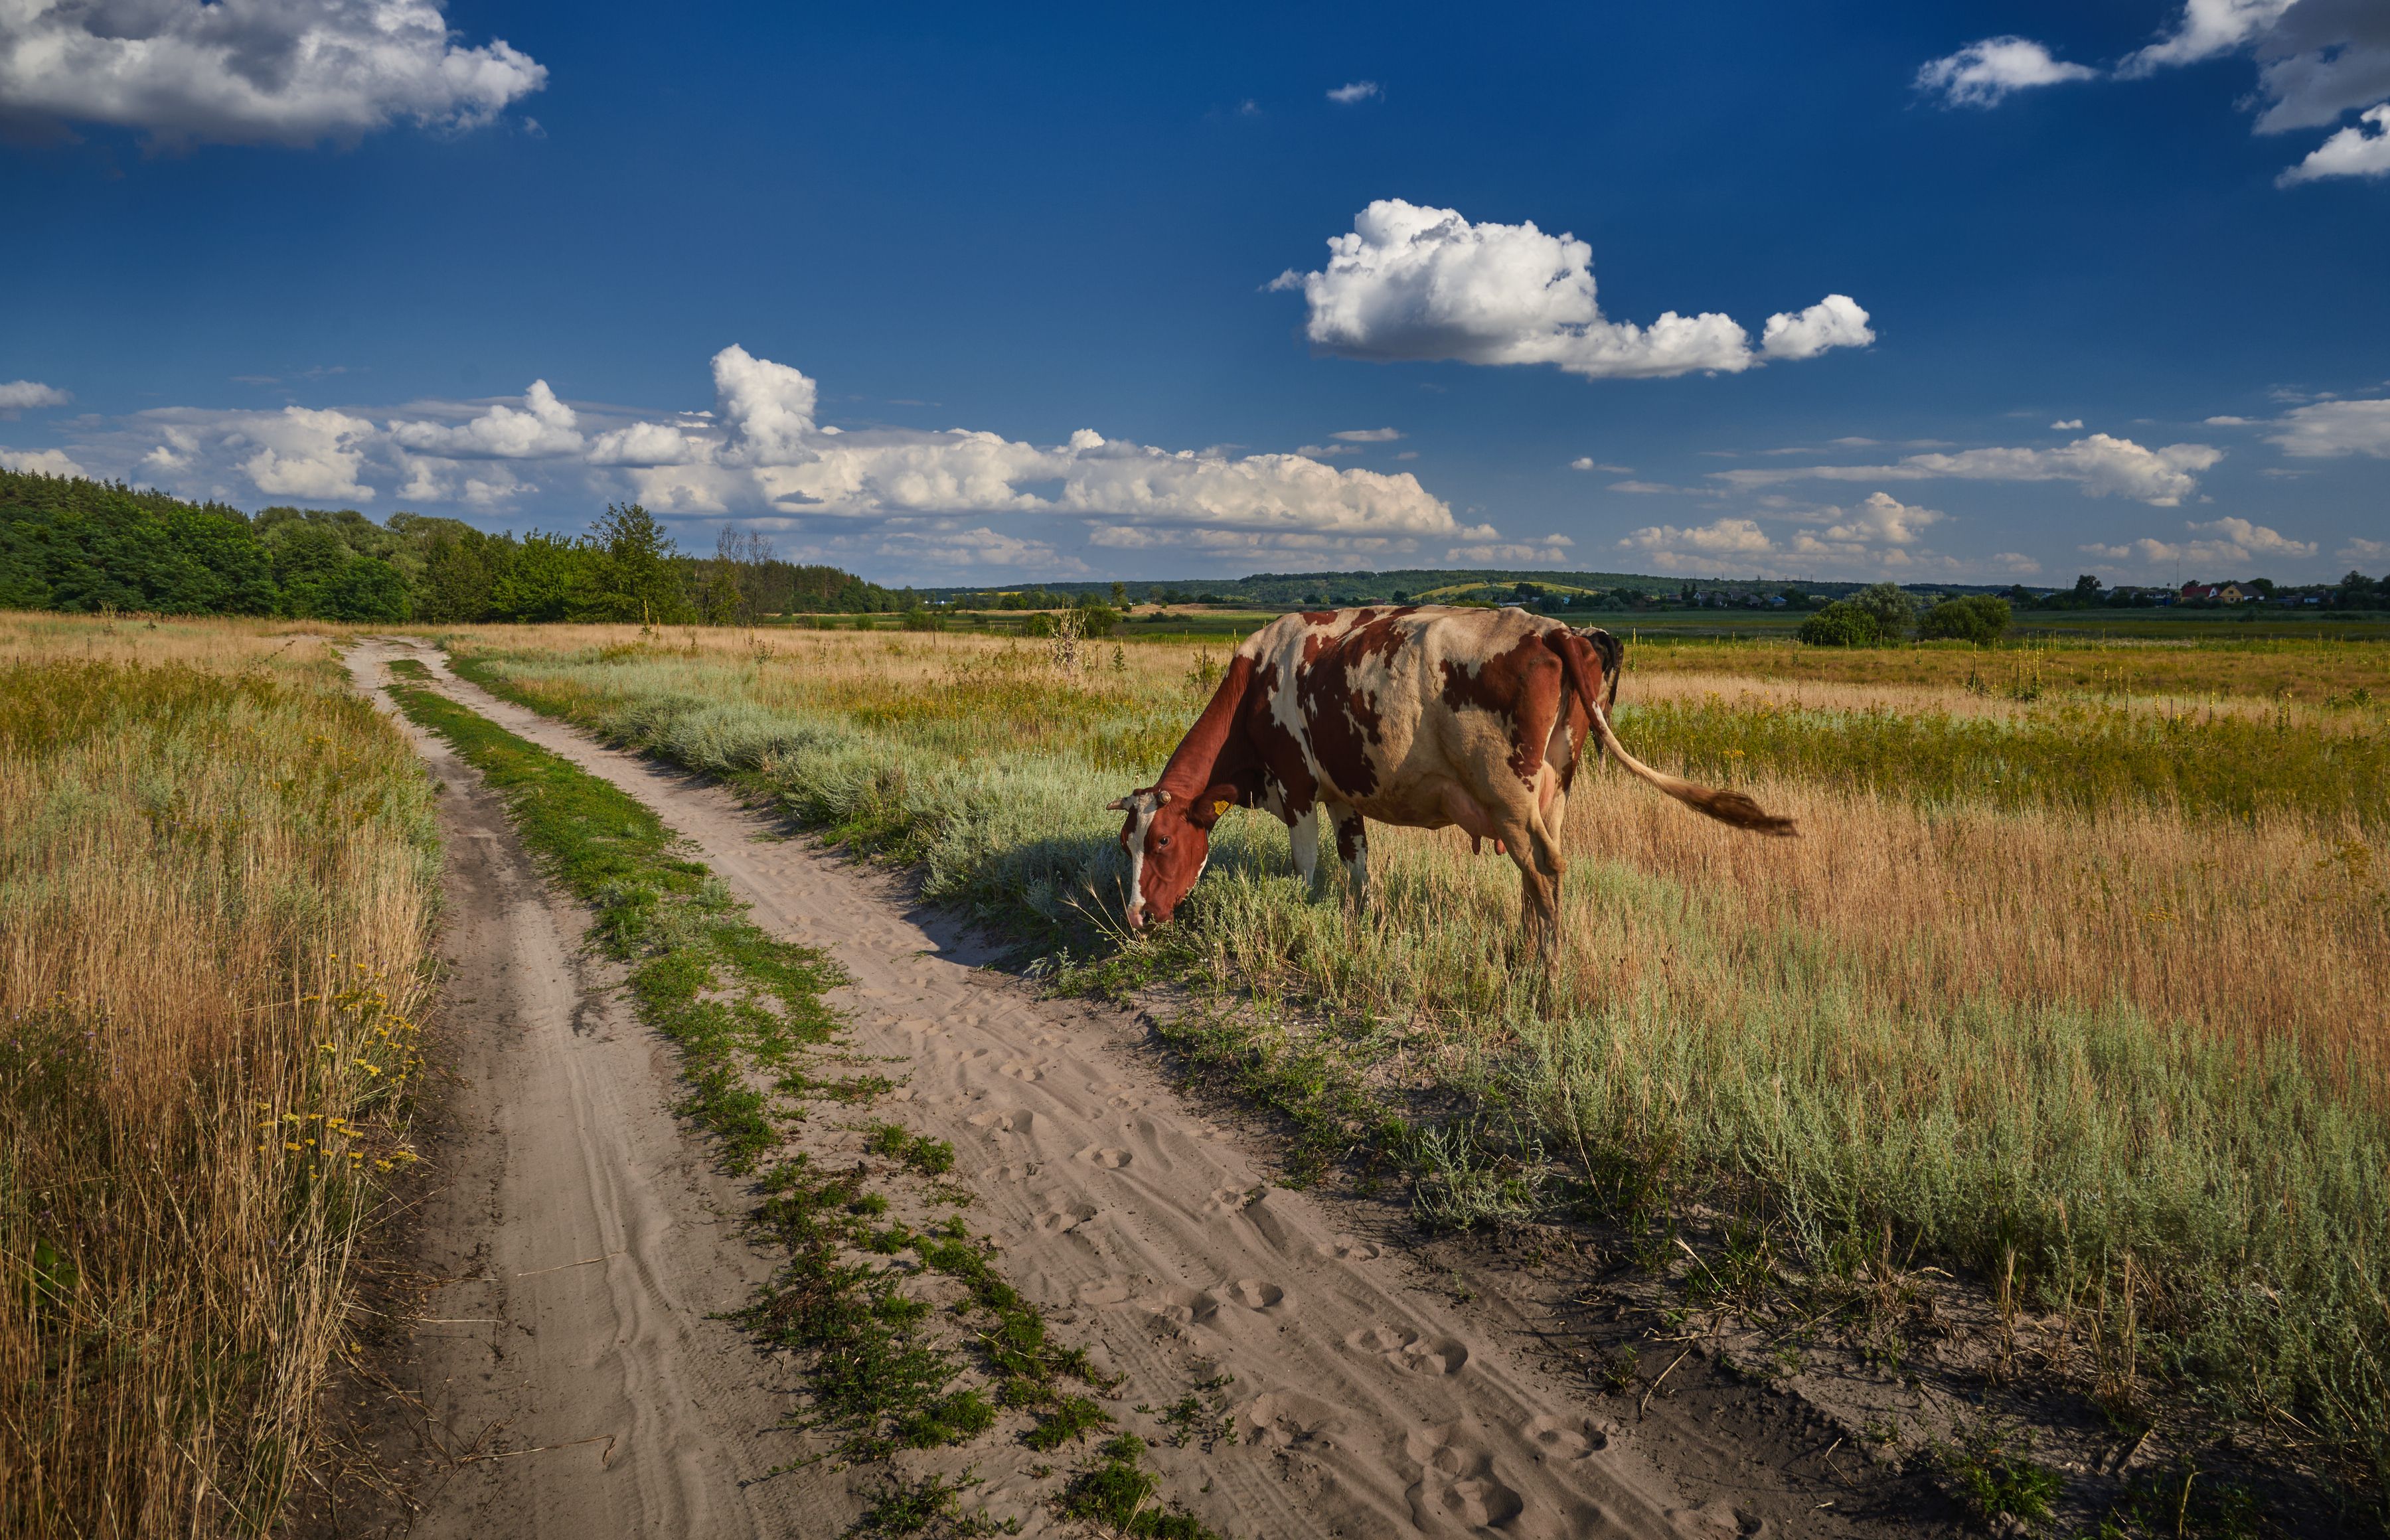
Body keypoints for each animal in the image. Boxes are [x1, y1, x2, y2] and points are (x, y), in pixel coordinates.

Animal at [1107, 605, 1794, 964]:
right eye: (1125, 845)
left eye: (1162, 841)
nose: (1136, 917)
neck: (1258, 680)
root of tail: (1556, 630)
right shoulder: (1343, 797)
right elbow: (1358, 867)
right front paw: (1363, 922)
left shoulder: (1299, 789)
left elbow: (1306, 873)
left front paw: (1304, 919)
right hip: (1555, 787)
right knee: (1540, 868)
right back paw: (1528, 945)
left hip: (1508, 793)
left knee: (1544, 867)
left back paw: (1545, 967)